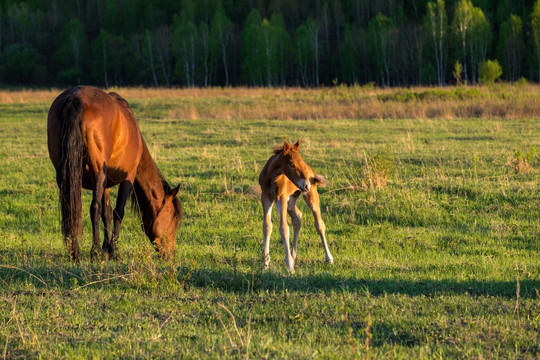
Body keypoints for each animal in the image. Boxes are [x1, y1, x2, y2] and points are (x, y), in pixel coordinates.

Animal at [46, 87, 181, 262]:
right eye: (172, 218)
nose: (171, 254)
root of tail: (74, 97)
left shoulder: (106, 184)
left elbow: (107, 213)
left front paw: (107, 248)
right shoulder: (128, 178)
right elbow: (117, 211)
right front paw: (114, 250)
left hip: (65, 174)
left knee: (71, 208)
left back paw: (74, 252)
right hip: (97, 172)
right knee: (94, 208)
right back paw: (94, 251)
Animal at [258, 141, 334, 272]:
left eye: (301, 161)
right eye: (291, 164)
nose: (306, 185)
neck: (272, 176)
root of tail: (311, 171)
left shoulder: (281, 197)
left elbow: (284, 228)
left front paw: (289, 266)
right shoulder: (266, 197)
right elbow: (267, 226)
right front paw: (265, 264)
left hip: (310, 196)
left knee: (319, 224)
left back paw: (329, 258)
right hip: (291, 201)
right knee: (297, 217)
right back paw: (293, 257)